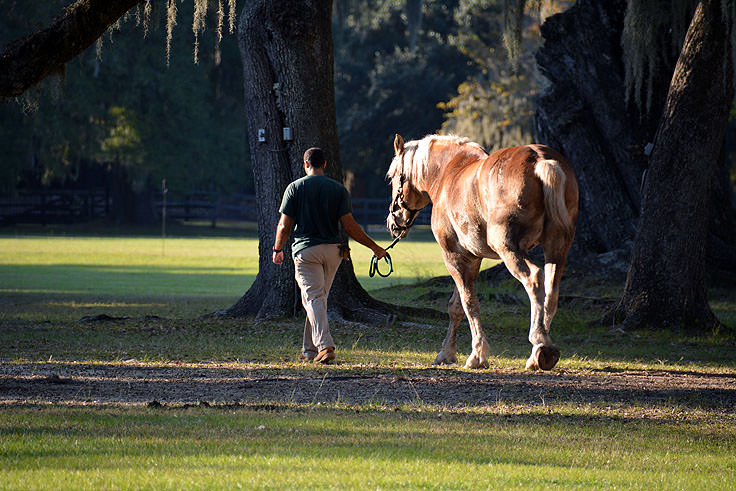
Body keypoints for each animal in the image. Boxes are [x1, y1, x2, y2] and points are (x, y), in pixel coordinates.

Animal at [388, 133, 576, 370]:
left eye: (393, 177)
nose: (393, 222)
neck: (449, 171)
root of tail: (540, 160)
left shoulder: (452, 256)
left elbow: (469, 303)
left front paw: (477, 354)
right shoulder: (472, 258)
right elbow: (456, 306)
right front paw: (446, 353)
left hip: (509, 250)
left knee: (534, 280)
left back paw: (540, 341)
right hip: (556, 248)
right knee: (551, 291)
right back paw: (538, 354)